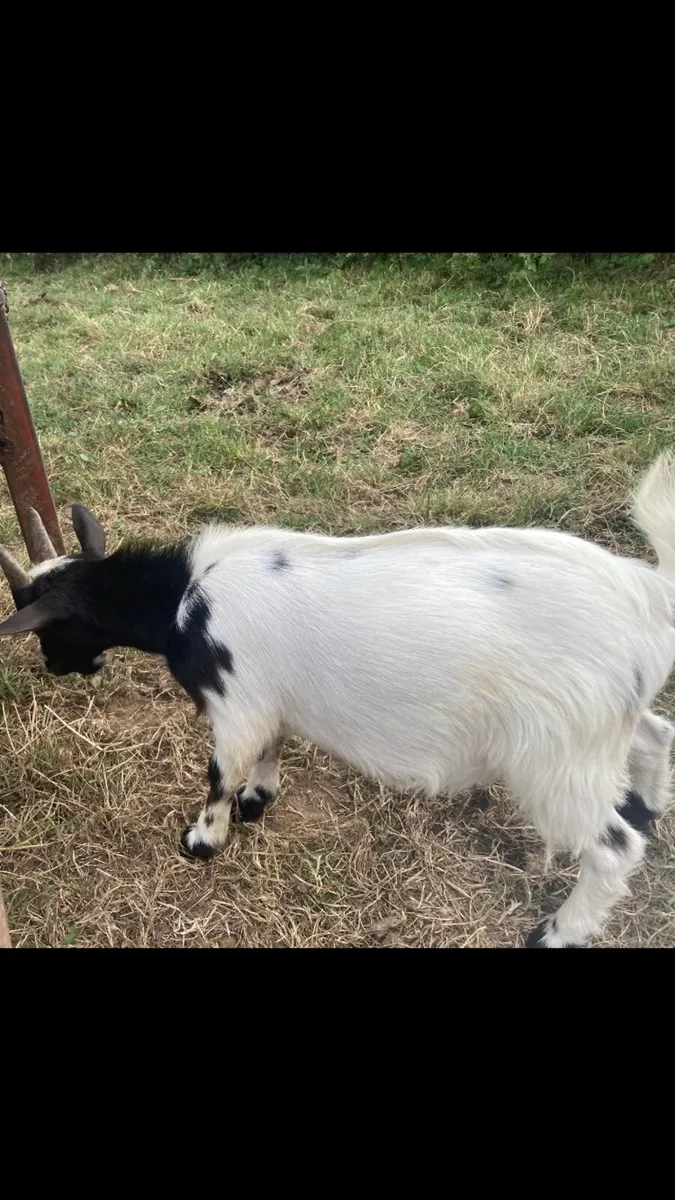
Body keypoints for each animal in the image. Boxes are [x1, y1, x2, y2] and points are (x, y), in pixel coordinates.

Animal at [1, 455, 675, 947]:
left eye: (43, 623)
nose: (57, 666)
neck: (183, 601)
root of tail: (647, 599)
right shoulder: (268, 697)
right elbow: (272, 745)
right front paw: (259, 800)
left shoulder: (235, 702)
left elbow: (221, 771)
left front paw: (202, 841)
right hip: (604, 724)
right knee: (654, 734)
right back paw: (648, 807)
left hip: (557, 757)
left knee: (613, 848)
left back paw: (559, 931)